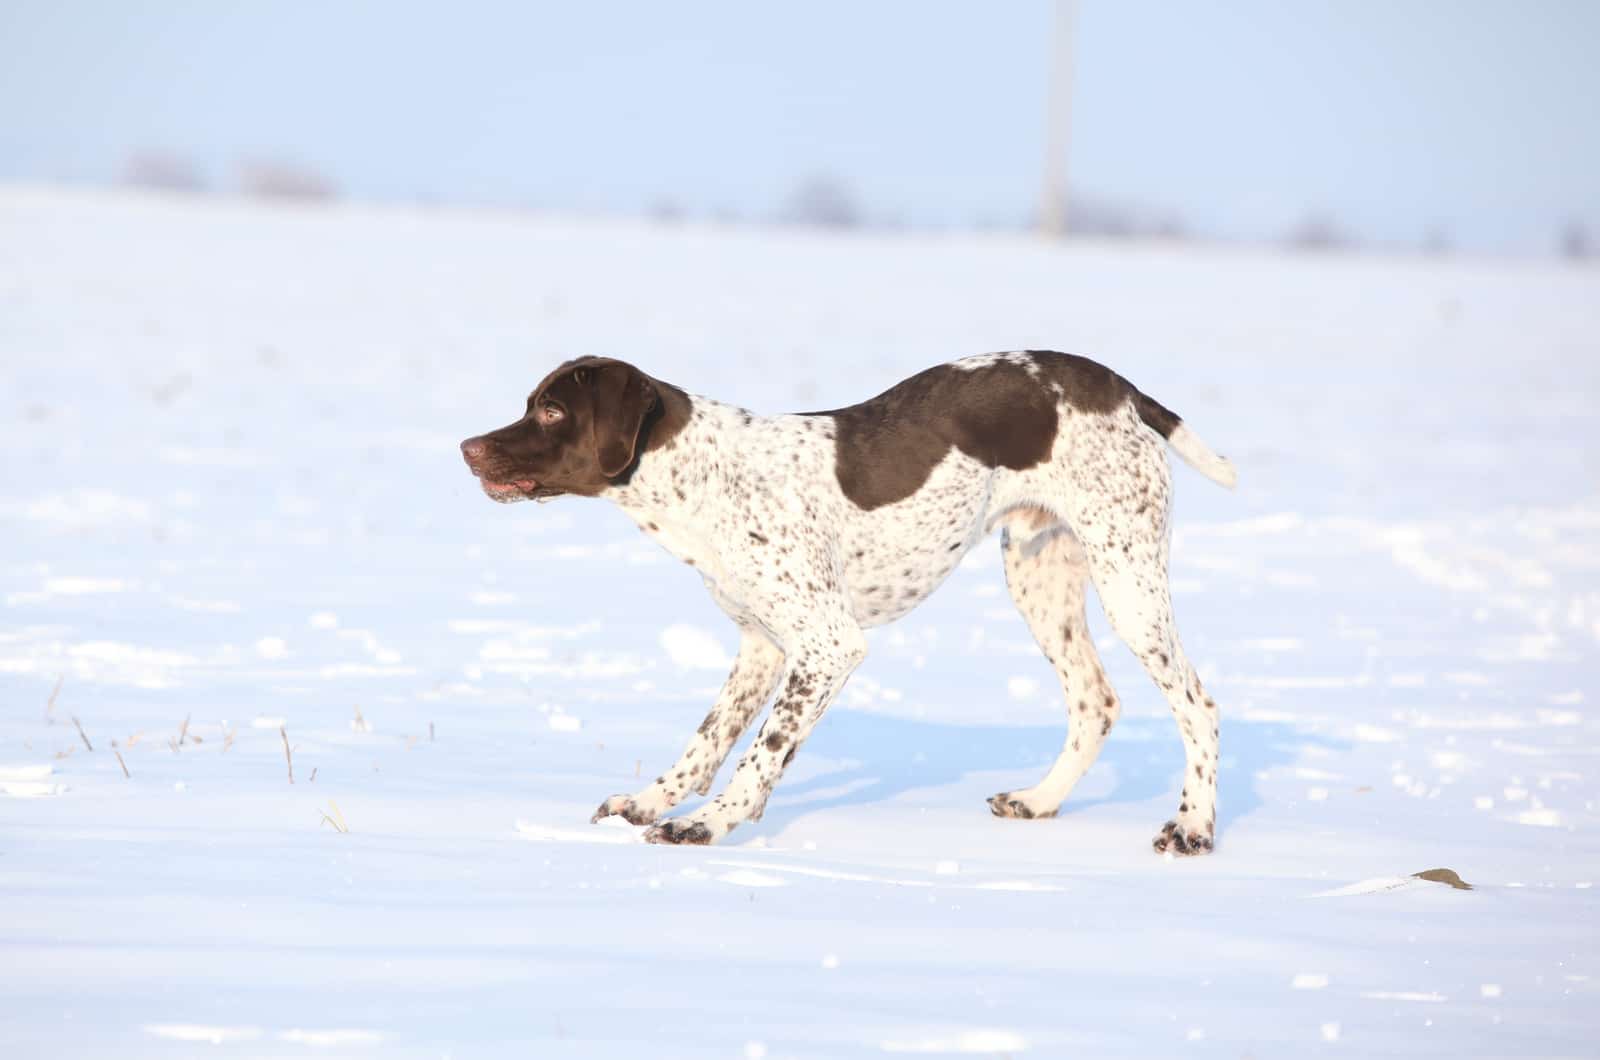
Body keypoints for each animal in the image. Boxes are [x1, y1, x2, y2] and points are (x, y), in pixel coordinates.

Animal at [464, 350, 1235, 858]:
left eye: (552, 410)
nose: (468, 447)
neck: (706, 480)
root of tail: (1117, 388)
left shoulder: (827, 644)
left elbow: (762, 752)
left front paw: (709, 823)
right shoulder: (760, 646)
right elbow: (707, 742)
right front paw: (652, 802)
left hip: (1128, 579)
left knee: (1196, 705)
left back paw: (1193, 827)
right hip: (1040, 579)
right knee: (1094, 702)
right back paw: (1040, 800)